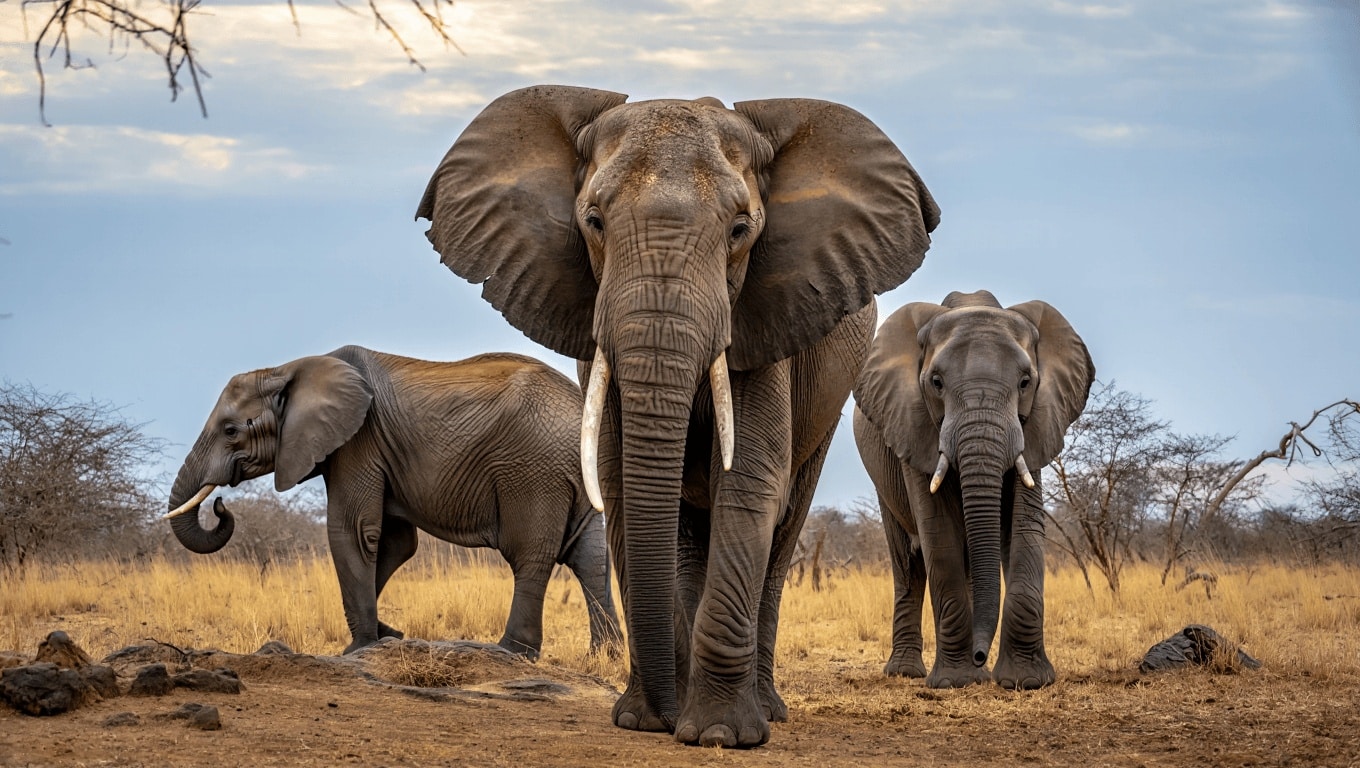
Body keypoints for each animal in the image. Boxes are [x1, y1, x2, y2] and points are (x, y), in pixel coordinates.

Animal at [164, 345, 622, 658]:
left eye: (230, 431)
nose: (220, 506)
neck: (289, 368)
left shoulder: (358, 442)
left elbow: (353, 532)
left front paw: (360, 648)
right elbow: (397, 543)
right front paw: (388, 634)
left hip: (532, 473)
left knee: (530, 554)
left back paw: (511, 651)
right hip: (574, 476)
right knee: (590, 558)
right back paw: (605, 655)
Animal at [416, 85, 939, 747]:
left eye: (740, 230)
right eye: (593, 221)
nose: (662, 716)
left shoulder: (765, 321)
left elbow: (748, 485)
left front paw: (718, 734)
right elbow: (621, 485)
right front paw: (644, 721)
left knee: (783, 526)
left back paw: (765, 709)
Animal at [853, 290, 1094, 689]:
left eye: (1026, 382)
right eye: (936, 382)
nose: (981, 655)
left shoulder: (1037, 423)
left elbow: (1024, 528)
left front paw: (1027, 681)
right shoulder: (913, 424)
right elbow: (938, 535)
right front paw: (955, 681)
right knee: (908, 564)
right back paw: (906, 672)